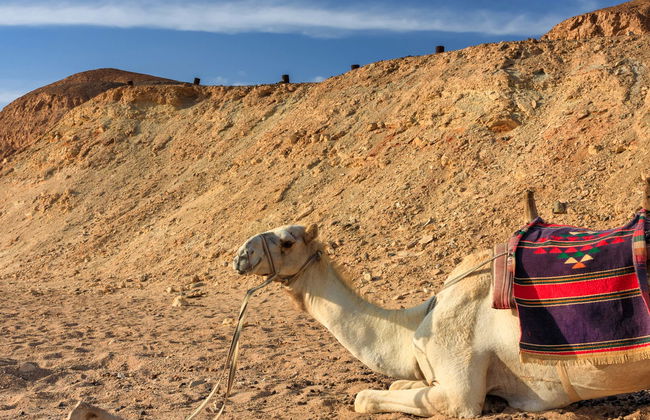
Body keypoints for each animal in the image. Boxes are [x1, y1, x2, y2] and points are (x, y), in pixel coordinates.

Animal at [232, 182, 650, 417]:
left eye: (287, 241)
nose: (240, 255)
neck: (421, 320)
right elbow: (396, 387)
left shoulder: (458, 391)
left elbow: (366, 397)